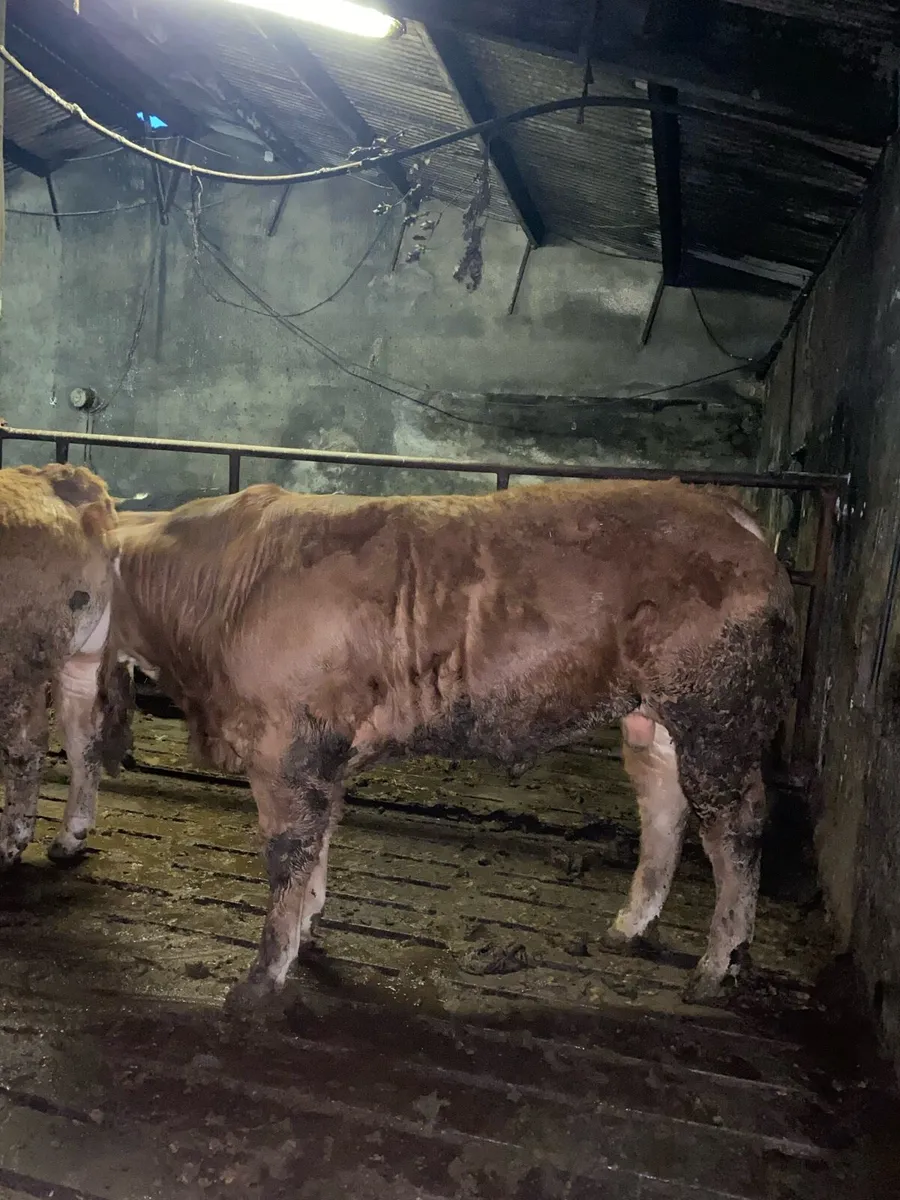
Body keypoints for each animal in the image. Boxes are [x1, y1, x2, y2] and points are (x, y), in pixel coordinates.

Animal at [0, 463, 127, 869]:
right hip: (83, 658)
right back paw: (70, 839)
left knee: (26, 744)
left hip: (16, 661)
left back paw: (9, 845)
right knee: (84, 736)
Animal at [68, 477, 796, 1008]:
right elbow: (319, 845)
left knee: (734, 827)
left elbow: (288, 855)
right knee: (664, 809)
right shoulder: (323, 753)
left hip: (716, 712)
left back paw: (717, 965)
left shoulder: (284, 750)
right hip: (654, 719)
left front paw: (261, 979)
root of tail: (726, 509)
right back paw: (630, 926)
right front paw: (307, 932)